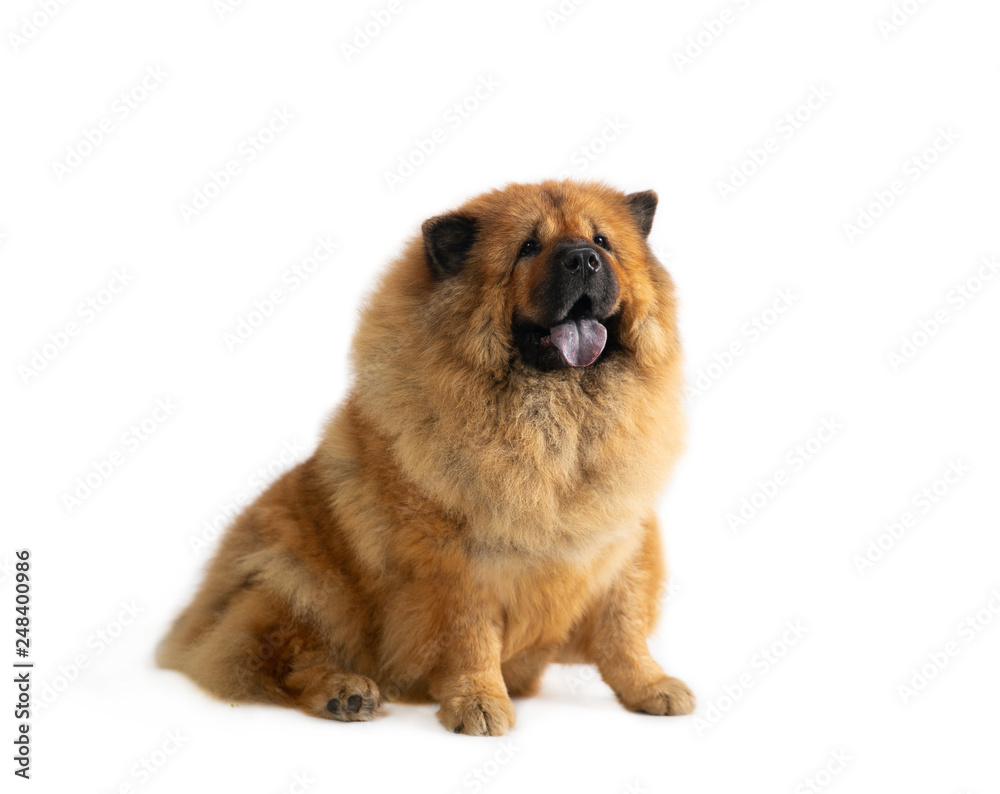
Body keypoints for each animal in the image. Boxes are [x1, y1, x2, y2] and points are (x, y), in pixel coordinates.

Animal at [160, 178, 692, 732]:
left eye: (602, 242)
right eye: (528, 247)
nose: (583, 259)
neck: (554, 426)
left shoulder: (620, 548)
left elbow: (624, 632)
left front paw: (652, 687)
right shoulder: (455, 568)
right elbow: (469, 639)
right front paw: (478, 704)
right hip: (299, 581)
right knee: (275, 658)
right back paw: (344, 691)